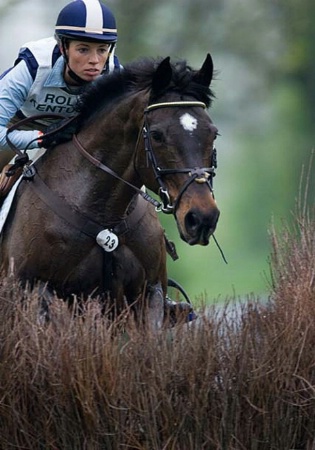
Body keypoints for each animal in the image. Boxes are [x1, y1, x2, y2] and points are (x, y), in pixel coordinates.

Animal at [0, 53, 221, 326]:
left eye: (213, 133)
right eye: (157, 135)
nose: (202, 218)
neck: (104, 212)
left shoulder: (148, 292)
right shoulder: (37, 290)